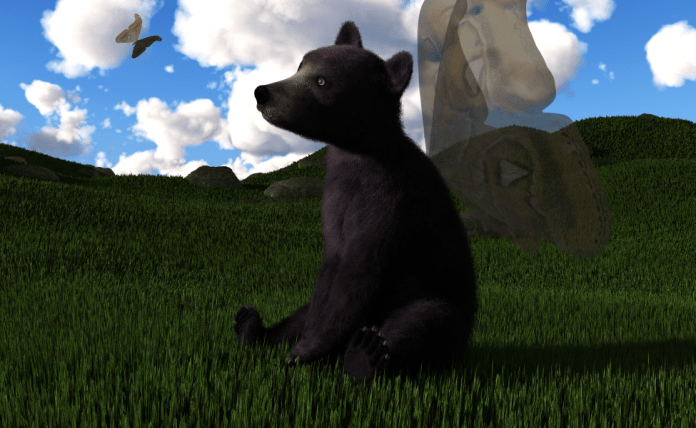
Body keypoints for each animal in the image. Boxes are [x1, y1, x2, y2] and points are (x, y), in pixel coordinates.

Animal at [235, 20, 478, 385]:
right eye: (300, 65)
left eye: (322, 81)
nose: (263, 92)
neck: (359, 152)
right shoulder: (335, 196)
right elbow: (329, 272)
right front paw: (301, 345)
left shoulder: (390, 199)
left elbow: (360, 274)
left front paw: (305, 351)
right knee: (299, 313)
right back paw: (250, 327)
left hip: (437, 297)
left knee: (422, 322)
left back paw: (365, 354)